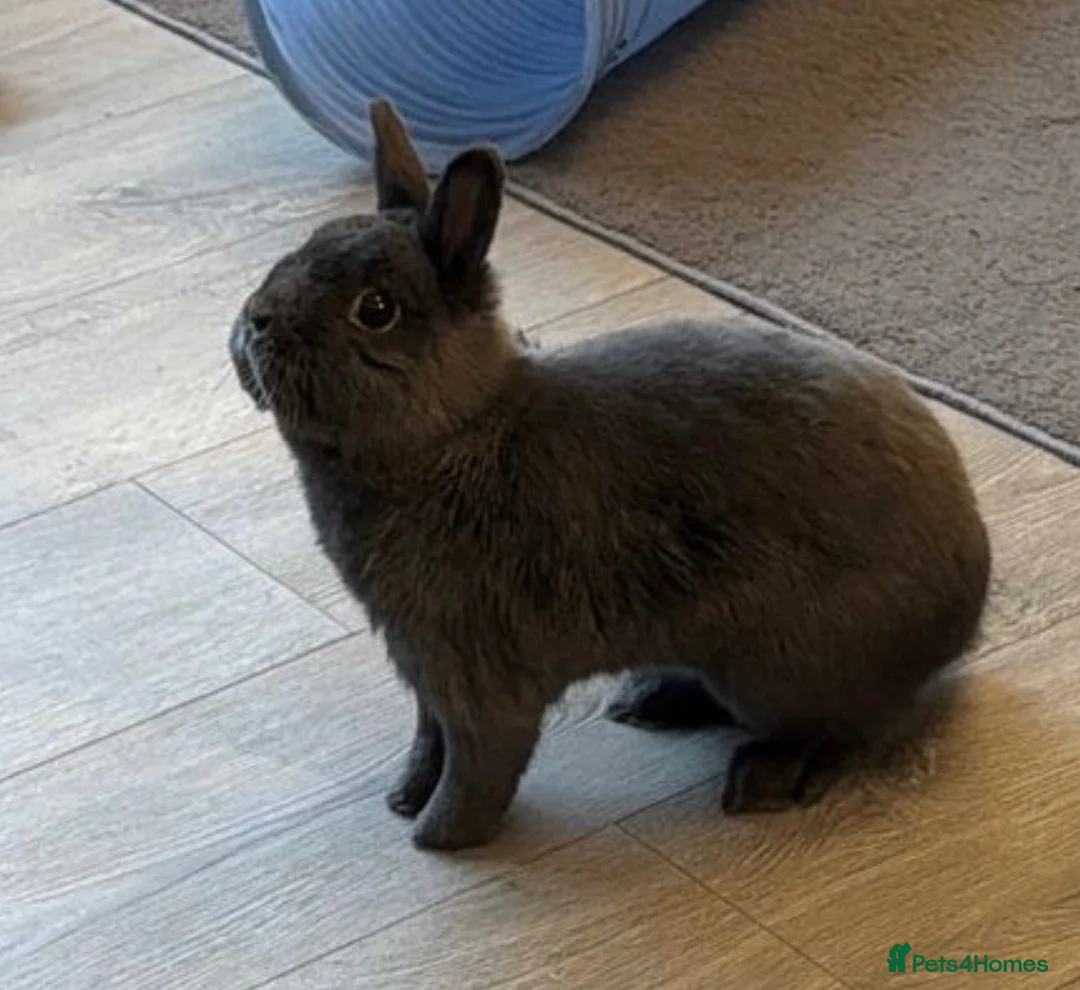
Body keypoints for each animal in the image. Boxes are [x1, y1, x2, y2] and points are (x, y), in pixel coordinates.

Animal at [228, 98, 991, 852]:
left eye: (376, 310)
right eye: (299, 250)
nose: (255, 322)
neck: (453, 431)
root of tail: (966, 610)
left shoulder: (476, 678)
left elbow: (480, 766)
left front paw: (437, 838)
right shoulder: (425, 674)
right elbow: (428, 741)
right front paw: (403, 799)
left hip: (780, 669)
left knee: (838, 733)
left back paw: (759, 781)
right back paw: (648, 701)